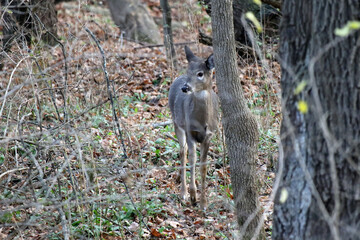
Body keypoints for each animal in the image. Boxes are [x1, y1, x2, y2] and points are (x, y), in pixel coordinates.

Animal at [169, 46, 219, 209]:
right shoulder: (190, 132)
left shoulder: (209, 135)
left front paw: (203, 203)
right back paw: (183, 192)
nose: (185, 87)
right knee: (182, 151)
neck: (201, 121)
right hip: (176, 122)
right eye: (188, 70)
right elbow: (192, 159)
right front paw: (192, 195)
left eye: (200, 73)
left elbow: (203, 166)